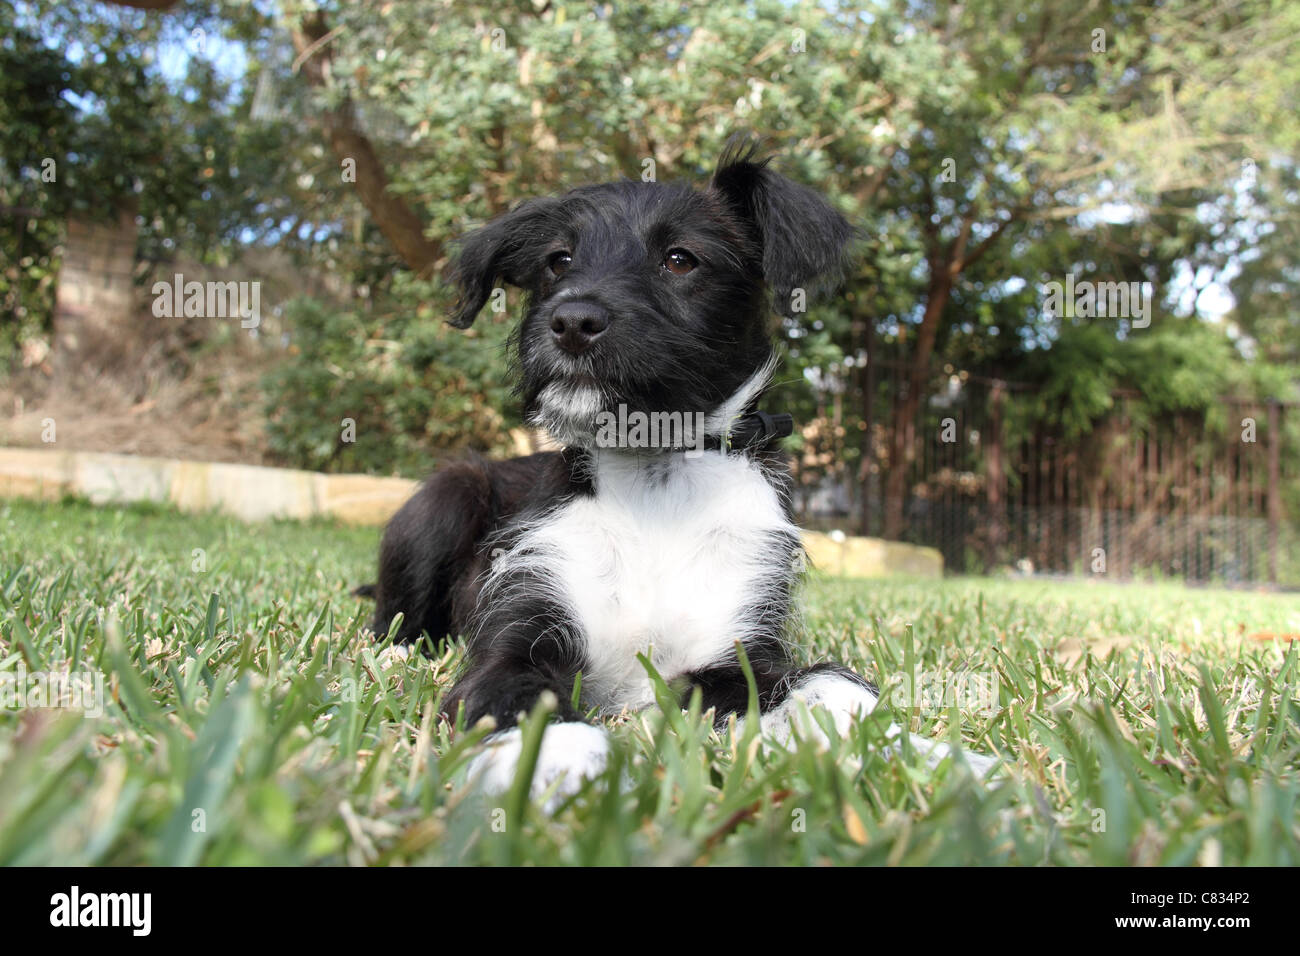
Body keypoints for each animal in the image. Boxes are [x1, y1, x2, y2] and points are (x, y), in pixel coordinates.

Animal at [366, 140, 993, 801]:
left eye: (680, 259)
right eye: (558, 261)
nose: (571, 321)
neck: (654, 478)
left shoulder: (734, 655)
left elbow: (828, 687)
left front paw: (938, 759)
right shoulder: (520, 628)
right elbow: (514, 693)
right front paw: (554, 754)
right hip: (447, 495)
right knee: (395, 617)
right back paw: (396, 653)